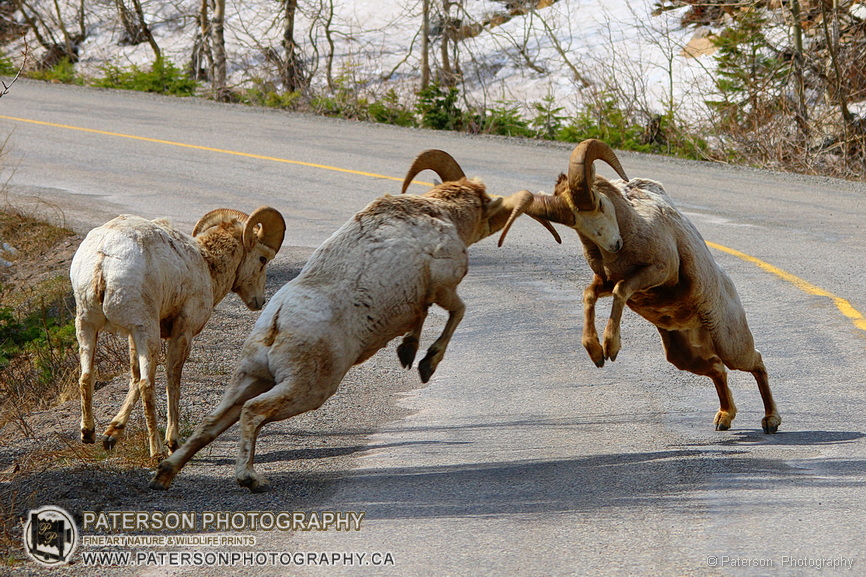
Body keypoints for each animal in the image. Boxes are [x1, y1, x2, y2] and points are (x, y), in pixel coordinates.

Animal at [71, 205, 286, 456]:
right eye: (262, 258)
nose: (259, 301)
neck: (206, 265)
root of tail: (103, 262)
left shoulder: (132, 335)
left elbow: (133, 378)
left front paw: (112, 434)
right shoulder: (182, 332)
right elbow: (172, 379)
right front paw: (173, 442)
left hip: (87, 324)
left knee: (87, 376)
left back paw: (88, 433)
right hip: (147, 330)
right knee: (147, 385)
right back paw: (157, 452)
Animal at [148, 150, 556, 490]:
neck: (439, 216)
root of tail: (276, 326)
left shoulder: (418, 301)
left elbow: (420, 317)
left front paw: (408, 353)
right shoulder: (443, 286)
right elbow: (456, 312)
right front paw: (425, 363)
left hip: (249, 377)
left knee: (210, 424)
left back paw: (164, 474)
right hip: (306, 389)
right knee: (253, 412)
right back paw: (251, 478)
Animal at [496, 141, 780, 432]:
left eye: (599, 203)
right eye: (576, 224)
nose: (614, 245)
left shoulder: (658, 271)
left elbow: (621, 290)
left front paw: (611, 349)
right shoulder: (605, 282)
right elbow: (590, 295)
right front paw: (597, 354)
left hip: (730, 345)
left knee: (755, 362)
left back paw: (770, 421)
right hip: (683, 356)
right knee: (717, 369)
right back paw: (724, 418)